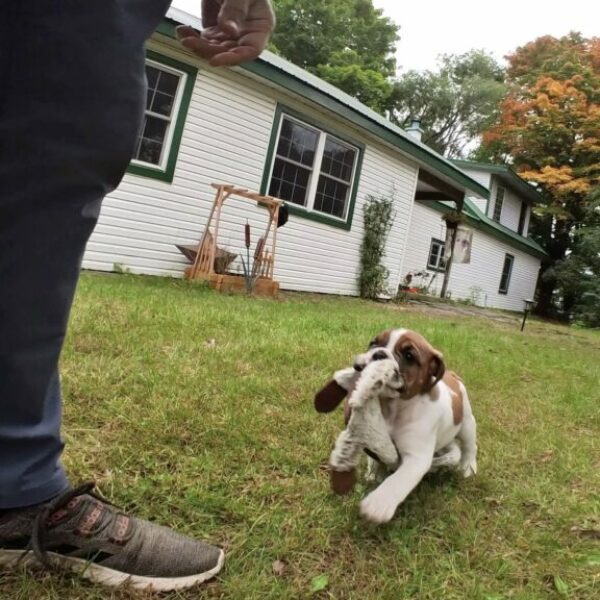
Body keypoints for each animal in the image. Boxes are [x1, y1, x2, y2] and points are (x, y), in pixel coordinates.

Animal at [314, 330, 478, 524]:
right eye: (373, 343)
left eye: (409, 356)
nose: (378, 354)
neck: (393, 407)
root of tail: (452, 375)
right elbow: (377, 457)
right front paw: (375, 473)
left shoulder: (416, 457)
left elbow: (398, 480)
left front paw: (379, 502)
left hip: (467, 423)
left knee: (469, 447)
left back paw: (467, 467)